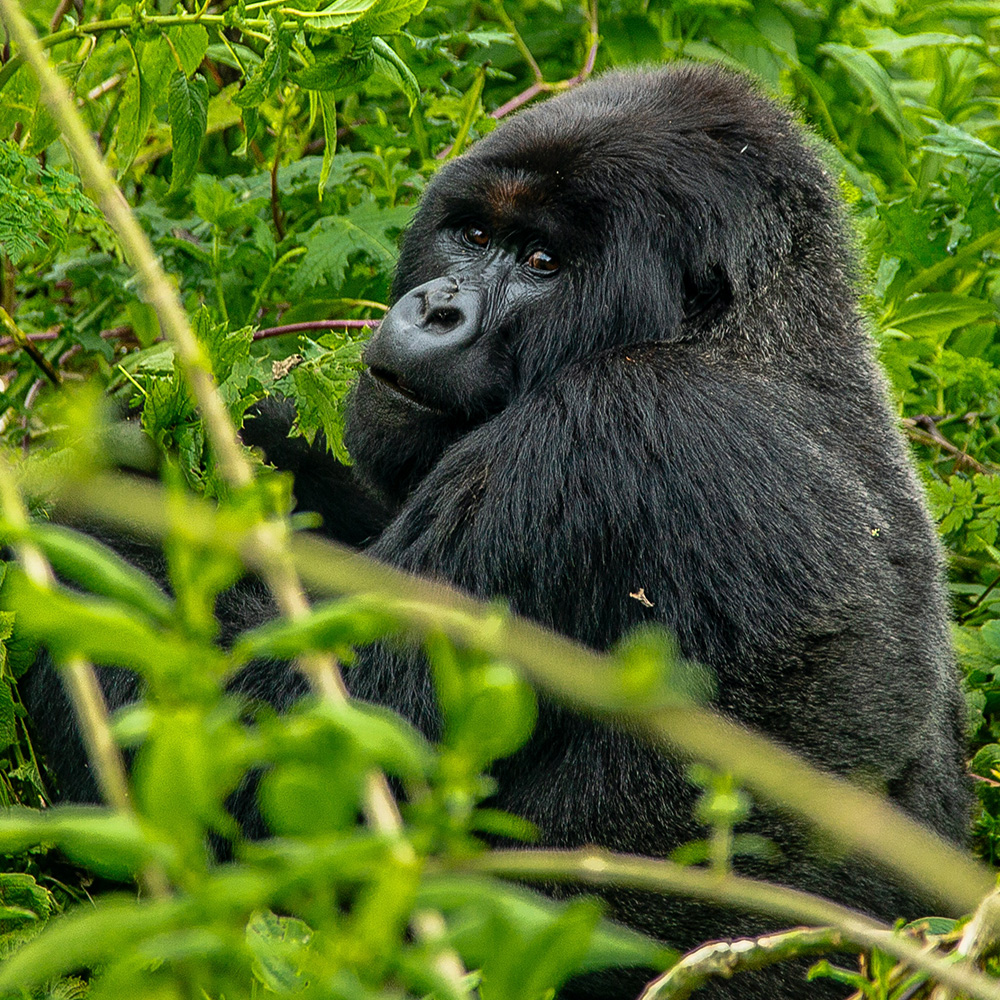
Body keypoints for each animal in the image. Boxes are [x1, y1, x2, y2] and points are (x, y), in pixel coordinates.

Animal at [17, 64, 968, 1000]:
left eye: (543, 263)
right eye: (472, 235)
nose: (436, 309)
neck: (745, 331)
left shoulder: (605, 434)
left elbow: (282, 766)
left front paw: (78, 501)